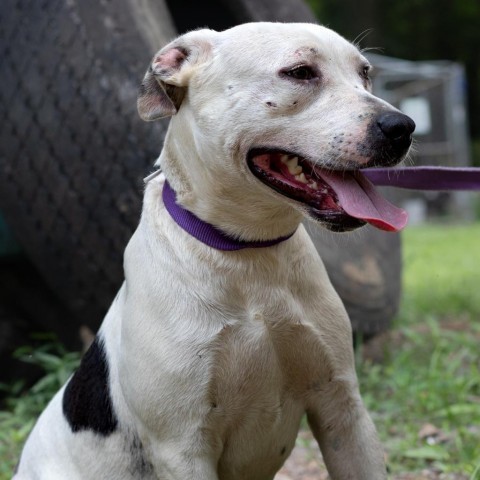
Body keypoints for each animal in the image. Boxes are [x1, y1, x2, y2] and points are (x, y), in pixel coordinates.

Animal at [14, 22, 412, 480]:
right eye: (299, 72)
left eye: (365, 73)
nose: (402, 127)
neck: (249, 253)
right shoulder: (183, 447)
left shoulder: (343, 410)